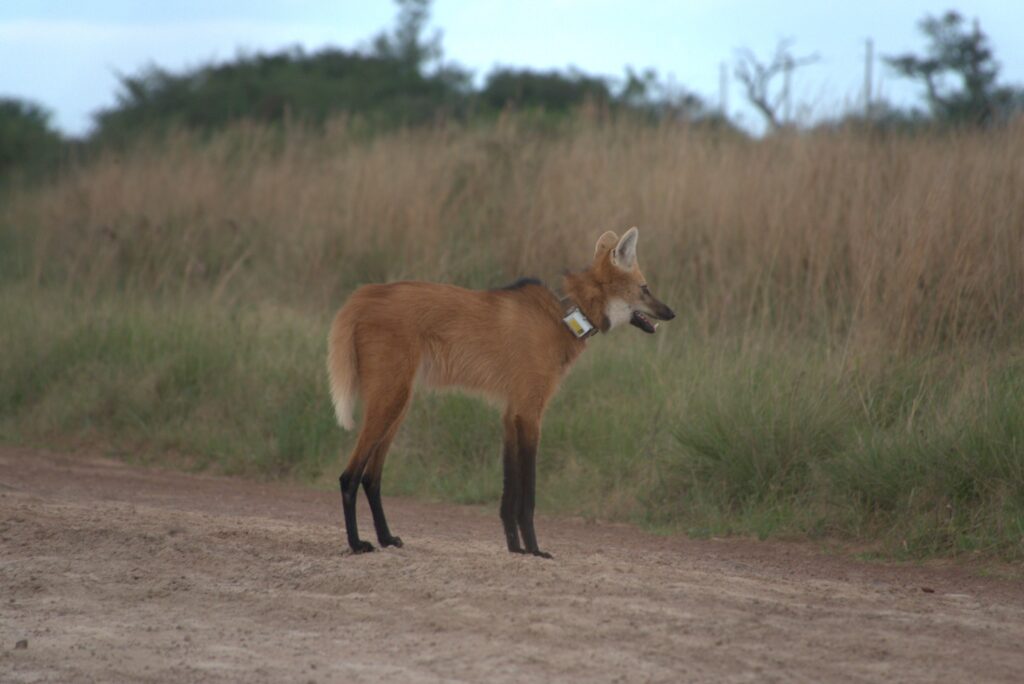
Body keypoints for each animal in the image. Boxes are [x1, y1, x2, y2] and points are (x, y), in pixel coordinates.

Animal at [327, 227, 675, 557]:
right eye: (645, 288)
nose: (671, 313)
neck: (567, 315)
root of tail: (366, 293)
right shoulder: (529, 414)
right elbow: (527, 494)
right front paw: (535, 550)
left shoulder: (511, 414)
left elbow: (509, 496)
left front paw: (516, 549)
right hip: (391, 401)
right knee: (349, 477)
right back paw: (357, 544)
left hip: (399, 405)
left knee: (372, 477)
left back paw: (386, 538)